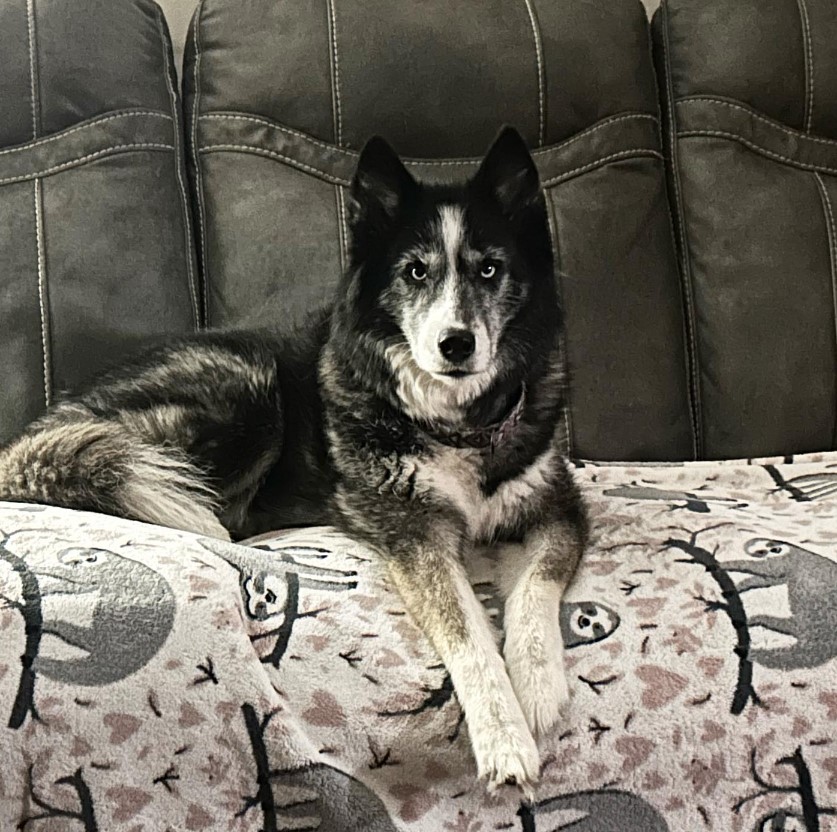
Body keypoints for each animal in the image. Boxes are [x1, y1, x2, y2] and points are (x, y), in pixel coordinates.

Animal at [0, 127, 588, 796]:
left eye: (490, 268)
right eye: (416, 271)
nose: (456, 345)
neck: (460, 426)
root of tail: (43, 427)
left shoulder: (559, 507)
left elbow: (537, 587)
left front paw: (537, 688)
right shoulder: (414, 534)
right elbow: (464, 630)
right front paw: (504, 737)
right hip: (247, 388)